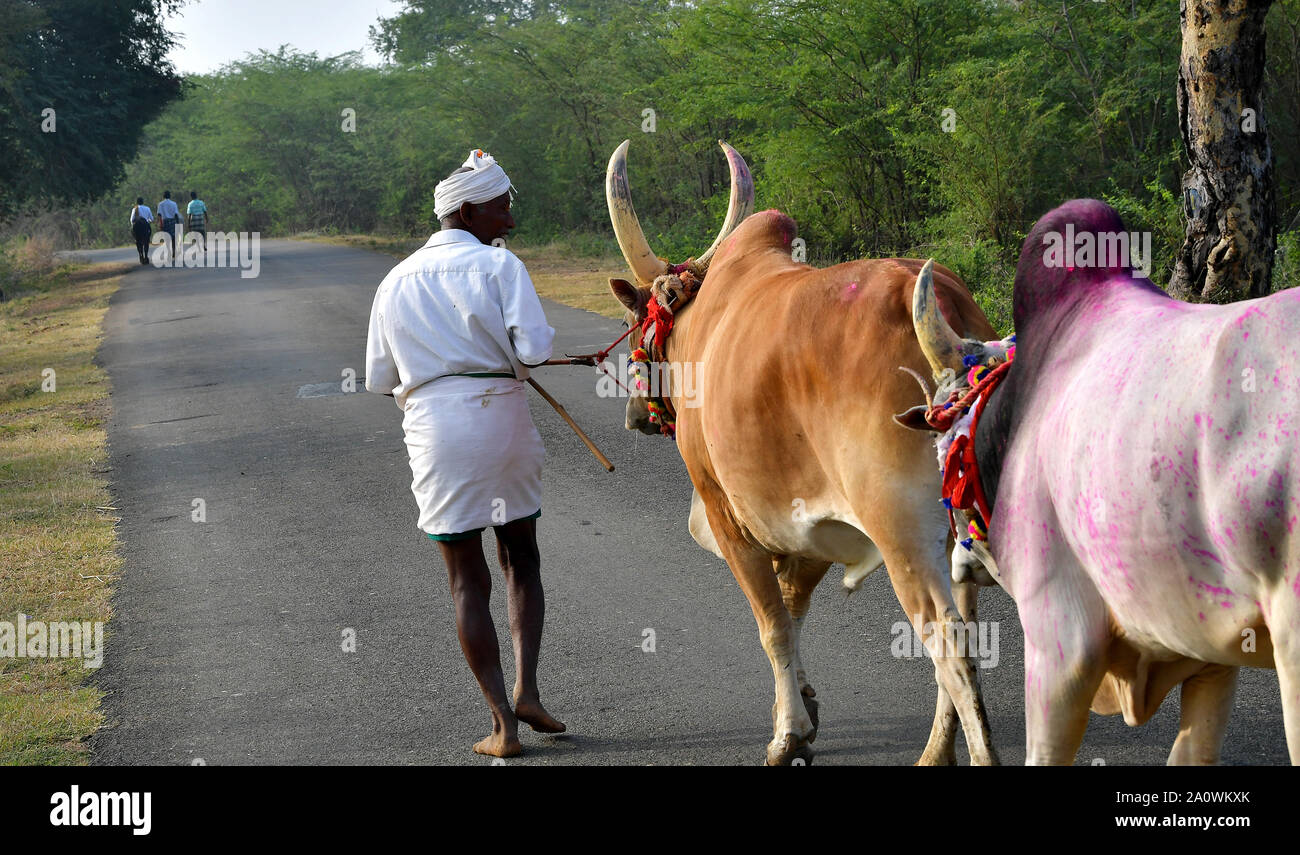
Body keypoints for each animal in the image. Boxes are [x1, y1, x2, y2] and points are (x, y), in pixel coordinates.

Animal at [603, 141, 998, 764]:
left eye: (630, 319)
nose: (635, 417)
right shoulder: (809, 524)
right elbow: (793, 609)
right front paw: (804, 707)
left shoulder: (727, 513)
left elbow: (773, 624)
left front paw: (788, 733)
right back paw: (935, 751)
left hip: (903, 533)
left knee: (949, 644)